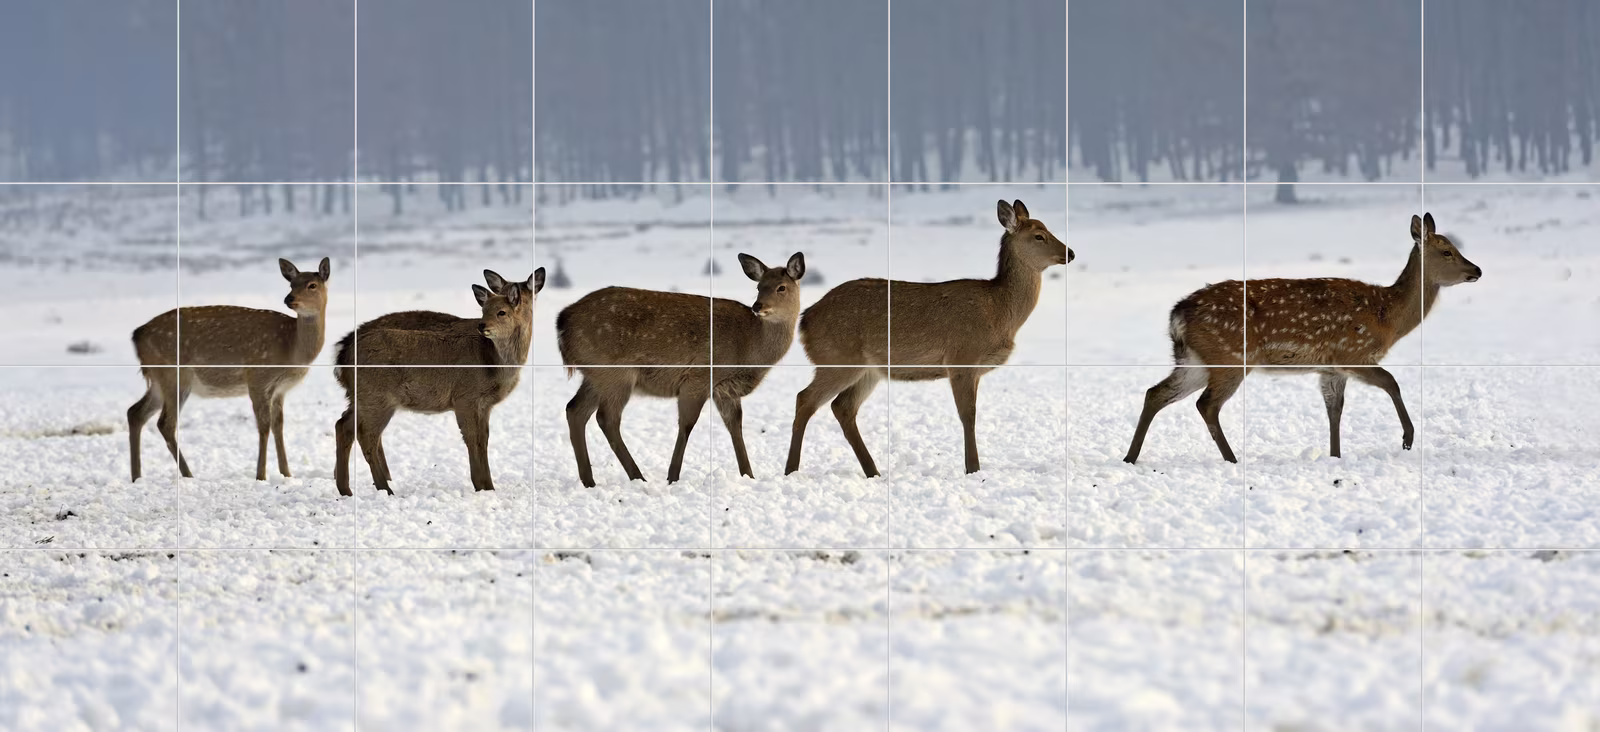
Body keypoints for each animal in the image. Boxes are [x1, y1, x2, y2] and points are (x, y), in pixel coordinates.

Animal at [127, 257, 331, 482]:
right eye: (291, 284)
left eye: (312, 285)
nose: (289, 298)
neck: (292, 349)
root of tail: (137, 335)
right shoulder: (258, 377)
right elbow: (264, 426)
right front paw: (261, 476)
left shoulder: (280, 389)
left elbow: (278, 425)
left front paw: (286, 474)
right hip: (174, 373)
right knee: (165, 423)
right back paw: (188, 475)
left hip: (158, 379)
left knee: (135, 412)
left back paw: (137, 477)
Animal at [332, 270, 542, 496]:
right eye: (484, 310)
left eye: (501, 312)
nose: (482, 325)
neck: (493, 365)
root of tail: (342, 356)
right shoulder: (464, 397)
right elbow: (472, 438)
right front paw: (481, 485)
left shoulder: (484, 404)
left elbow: (483, 439)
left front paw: (488, 487)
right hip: (377, 397)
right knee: (367, 435)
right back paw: (385, 489)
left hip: (361, 397)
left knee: (343, 425)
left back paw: (346, 489)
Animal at [556, 252, 806, 488]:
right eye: (759, 286)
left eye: (781, 287)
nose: (758, 306)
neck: (750, 349)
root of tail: (562, 323)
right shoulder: (699, 377)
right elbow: (687, 424)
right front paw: (673, 477)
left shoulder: (724, 389)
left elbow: (735, 426)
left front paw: (749, 475)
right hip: (615, 373)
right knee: (606, 418)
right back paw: (638, 477)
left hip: (595, 376)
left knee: (575, 410)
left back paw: (589, 480)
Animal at [786, 199, 1071, 477]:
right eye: (1039, 236)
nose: (1070, 253)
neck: (1000, 313)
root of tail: (805, 320)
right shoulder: (961, 357)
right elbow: (968, 415)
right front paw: (973, 469)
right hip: (836, 358)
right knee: (805, 399)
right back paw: (791, 469)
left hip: (868, 369)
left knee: (842, 407)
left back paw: (873, 471)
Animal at [1123, 212, 1481, 464]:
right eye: (1447, 251)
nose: (1476, 270)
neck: (1387, 318)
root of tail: (1177, 315)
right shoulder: (1352, 352)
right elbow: (1392, 382)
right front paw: (1407, 438)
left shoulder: (1330, 368)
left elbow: (1334, 411)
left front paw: (1336, 456)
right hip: (1232, 356)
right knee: (1206, 404)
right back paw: (1232, 458)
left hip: (1196, 359)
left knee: (1156, 393)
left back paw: (1130, 457)